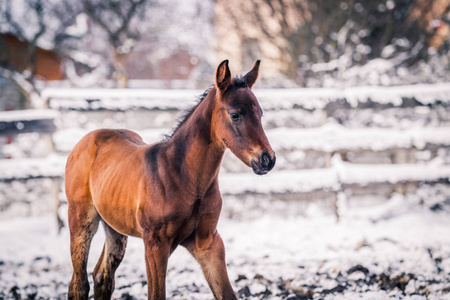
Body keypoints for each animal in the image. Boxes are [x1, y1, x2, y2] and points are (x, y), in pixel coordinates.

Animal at [66, 59, 274, 298]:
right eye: (235, 115)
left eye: (260, 114)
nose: (267, 159)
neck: (185, 178)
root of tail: (89, 137)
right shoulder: (155, 244)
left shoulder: (208, 243)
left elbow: (227, 294)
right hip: (81, 220)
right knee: (78, 283)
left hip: (115, 228)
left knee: (102, 276)